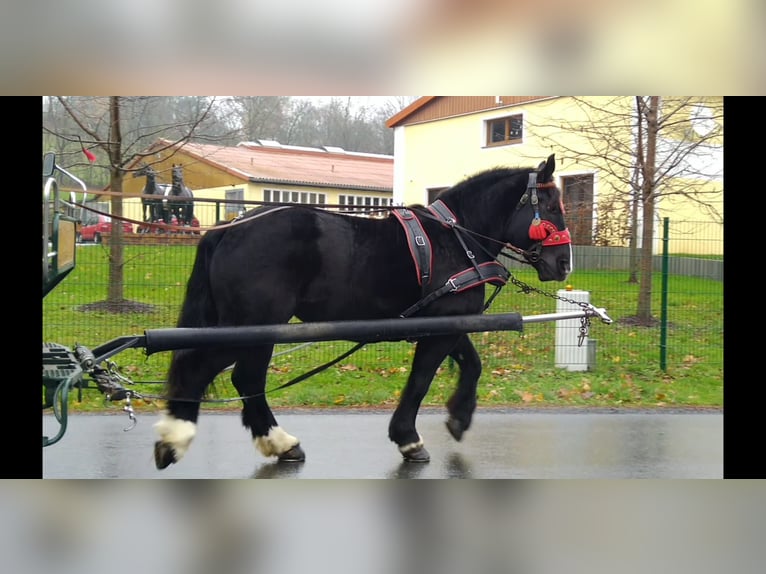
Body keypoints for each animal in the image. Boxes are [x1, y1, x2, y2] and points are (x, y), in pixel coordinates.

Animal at [153, 155, 572, 470]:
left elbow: (472, 364)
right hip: (255, 324)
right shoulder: (439, 330)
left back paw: (276, 443)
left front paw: (459, 417)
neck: (455, 239)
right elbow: (421, 381)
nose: (564, 263)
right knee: (212, 369)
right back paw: (180, 438)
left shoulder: (445, 323)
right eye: (552, 207)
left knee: (241, 378)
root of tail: (230, 226)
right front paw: (408, 439)